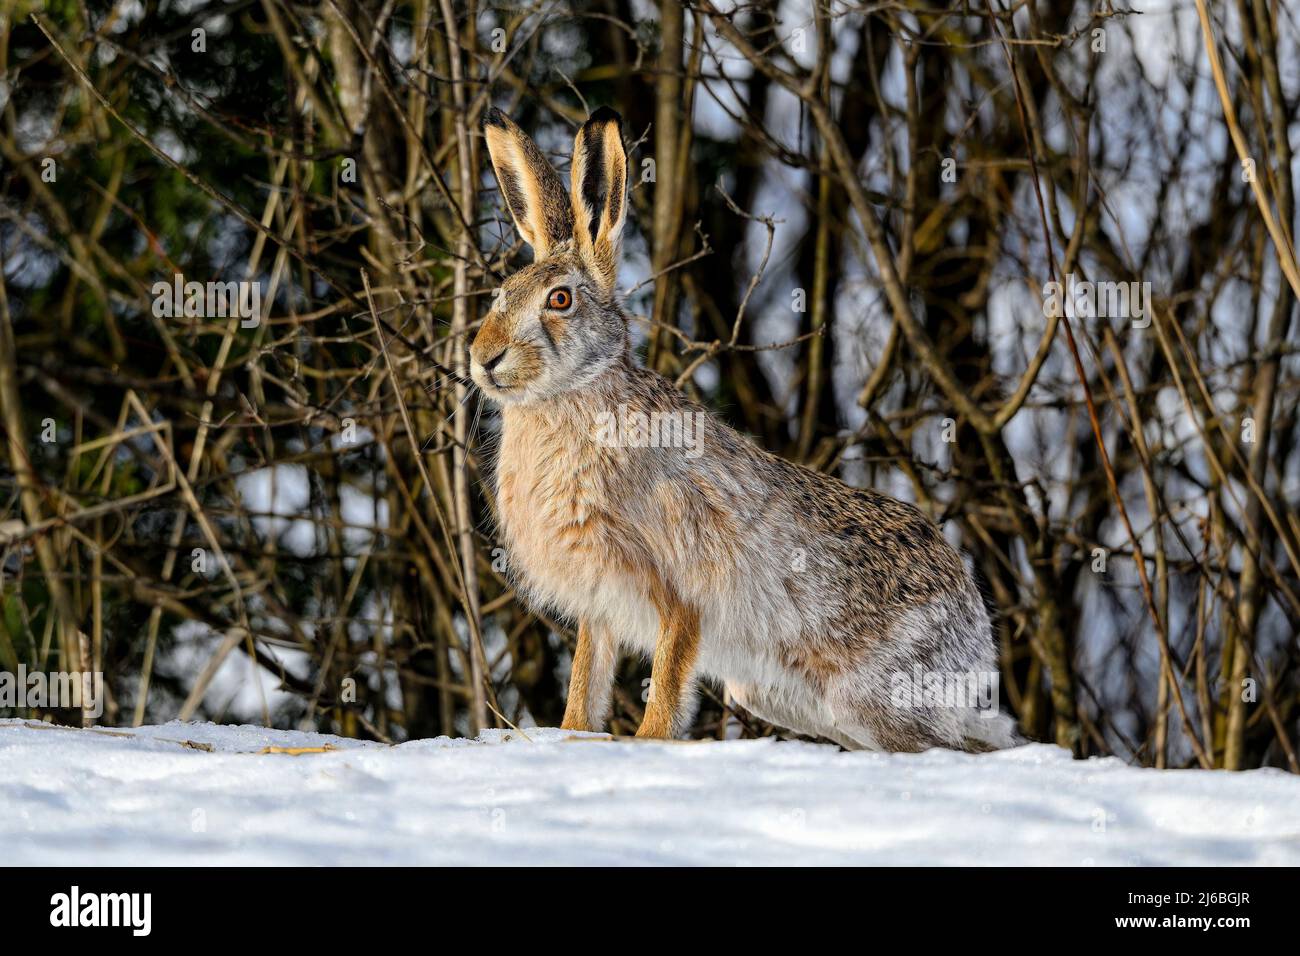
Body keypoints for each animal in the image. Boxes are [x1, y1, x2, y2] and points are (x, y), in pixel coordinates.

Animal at [469, 105, 1019, 752]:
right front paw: (573, 736)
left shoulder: (683, 590)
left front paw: (648, 743)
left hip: (871, 698)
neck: (575, 393)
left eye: (559, 300)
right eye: (502, 294)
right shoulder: (600, 605)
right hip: (784, 697)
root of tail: (974, 624)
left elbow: (668, 677)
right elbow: (586, 680)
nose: (484, 358)